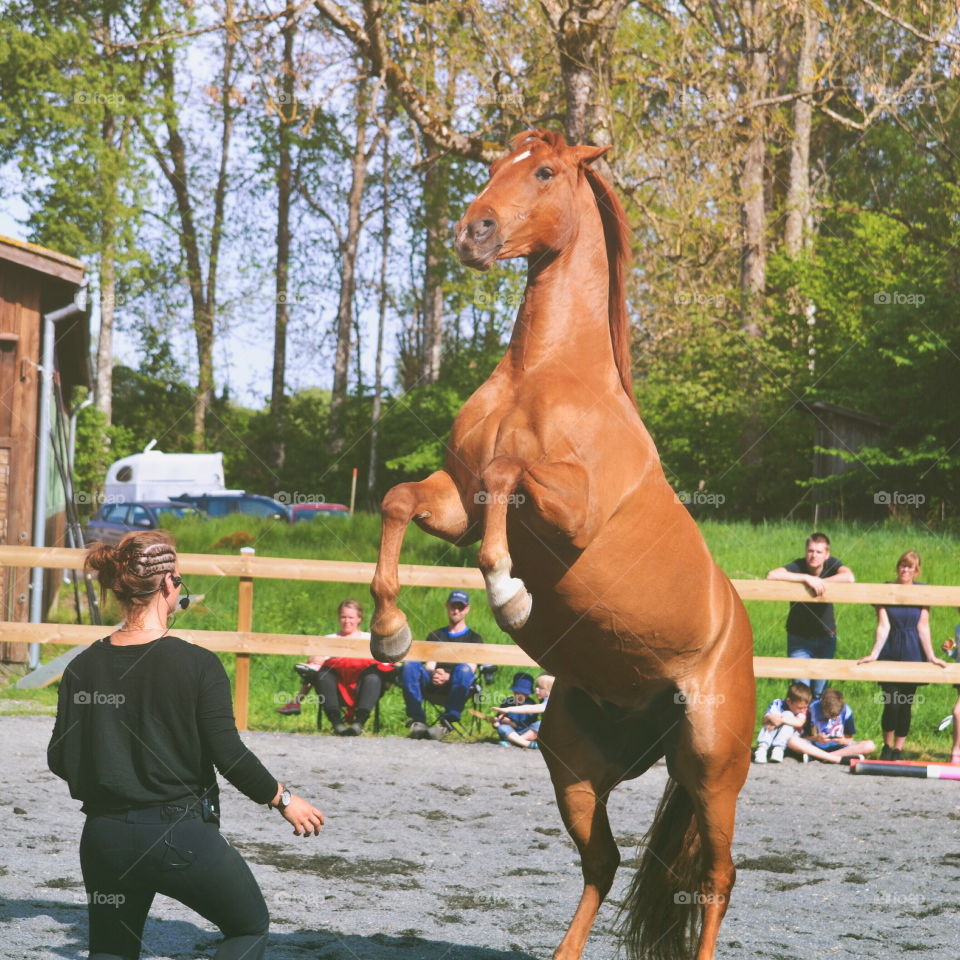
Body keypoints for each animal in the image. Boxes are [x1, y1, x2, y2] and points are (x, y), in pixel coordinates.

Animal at [368, 129, 754, 960]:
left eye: (543, 172)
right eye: (494, 166)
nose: (472, 233)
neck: (542, 375)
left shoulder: (565, 512)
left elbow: (508, 480)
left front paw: (509, 593)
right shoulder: (455, 500)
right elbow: (399, 500)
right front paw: (388, 633)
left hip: (712, 768)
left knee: (718, 876)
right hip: (573, 761)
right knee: (604, 863)